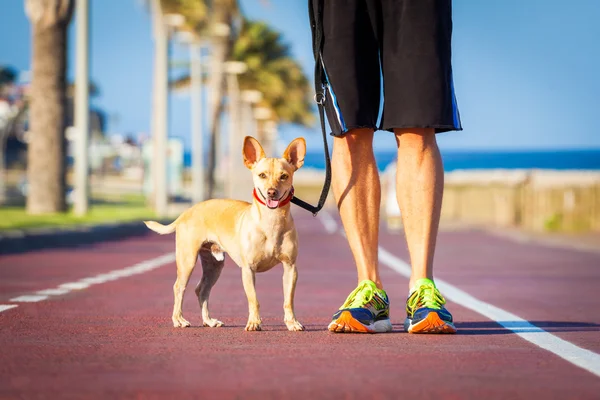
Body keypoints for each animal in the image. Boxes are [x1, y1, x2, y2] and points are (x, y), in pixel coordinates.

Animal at [144, 137, 304, 332]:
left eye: (284, 176)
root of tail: (187, 212)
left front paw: (292, 322)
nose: (272, 192)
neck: (271, 221)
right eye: (262, 175)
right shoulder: (248, 270)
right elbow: (254, 299)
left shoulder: (290, 268)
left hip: (214, 266)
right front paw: (254, 322)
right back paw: (179, 320)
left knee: (201, 289)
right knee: (179, 288)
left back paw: (209, 321)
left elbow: (288, 300)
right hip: (187, 261)